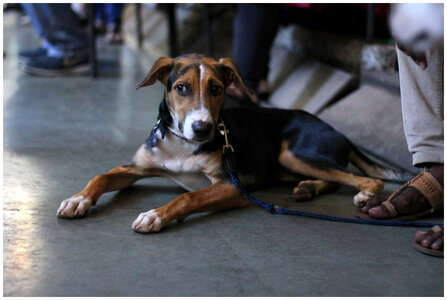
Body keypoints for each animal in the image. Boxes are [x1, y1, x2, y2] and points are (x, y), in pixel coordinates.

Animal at [56, 53, 392, 232]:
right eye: (181, 88)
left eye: (217, 88)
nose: (203, 128)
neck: (182, 143)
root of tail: (339, 131)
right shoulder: (135, 167)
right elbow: (101, 176)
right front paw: (78, 199)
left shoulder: (232, 185)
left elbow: (188, 197)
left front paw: (156, 215)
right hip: (288, 164)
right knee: (335, 179)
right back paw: (307, 188)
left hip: (293, 153)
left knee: (366, 179)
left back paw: (365, 195)